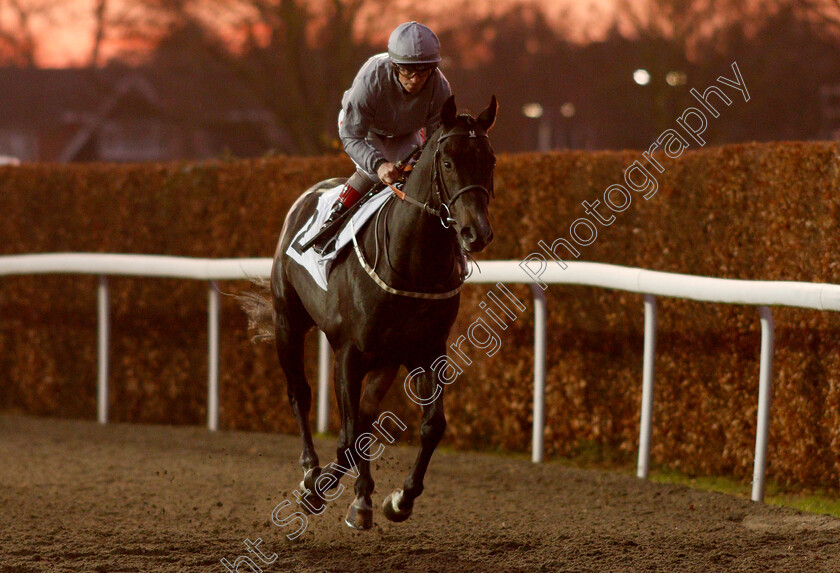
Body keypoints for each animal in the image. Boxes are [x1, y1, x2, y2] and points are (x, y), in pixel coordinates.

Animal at [240, 94, 496, 528]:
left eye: (490, 160)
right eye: (448, 162)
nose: (475, 232)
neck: (411, 263)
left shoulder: (427, 351)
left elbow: (431, 426)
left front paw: (399, 499)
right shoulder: (349, 353)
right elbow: (347, 432)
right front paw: (330, 492)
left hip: (385, 361)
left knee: (364, 416)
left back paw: (349, 489)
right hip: (288, 321)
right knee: (299, 394)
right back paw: (311, 471)